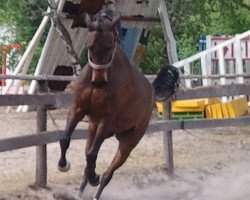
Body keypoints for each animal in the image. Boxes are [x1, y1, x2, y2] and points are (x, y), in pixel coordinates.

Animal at [58, 13, 155, 198]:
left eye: (109, 47)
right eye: (90, 46)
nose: (99, 82)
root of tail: (152, 91)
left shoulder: (106, 120)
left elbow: (91, 155)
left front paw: (93, 177)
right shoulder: (77, 110)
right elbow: (65, 140)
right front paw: (63, 165)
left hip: (128, 142)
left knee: (108, 173)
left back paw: (96, 186)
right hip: (94, 129)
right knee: (88, 157)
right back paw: (81, 190)